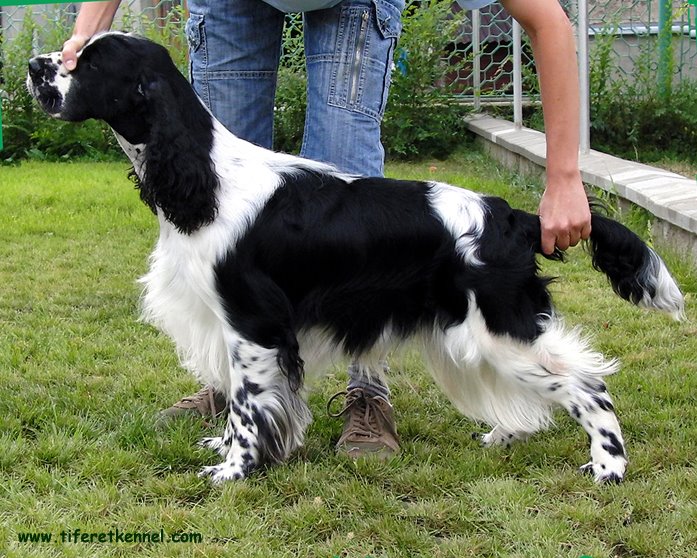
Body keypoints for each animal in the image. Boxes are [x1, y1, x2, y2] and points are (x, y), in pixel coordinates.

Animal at [28, 32, 684, 484]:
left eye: (90, 63)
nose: (35, 65)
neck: (206, 177)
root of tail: (513, 216)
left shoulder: (252, 325)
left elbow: (248, 406)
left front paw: (233, 471)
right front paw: (230, 451)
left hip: (500, 329)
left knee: (590, 386)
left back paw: (608, 467)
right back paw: (503, 434)